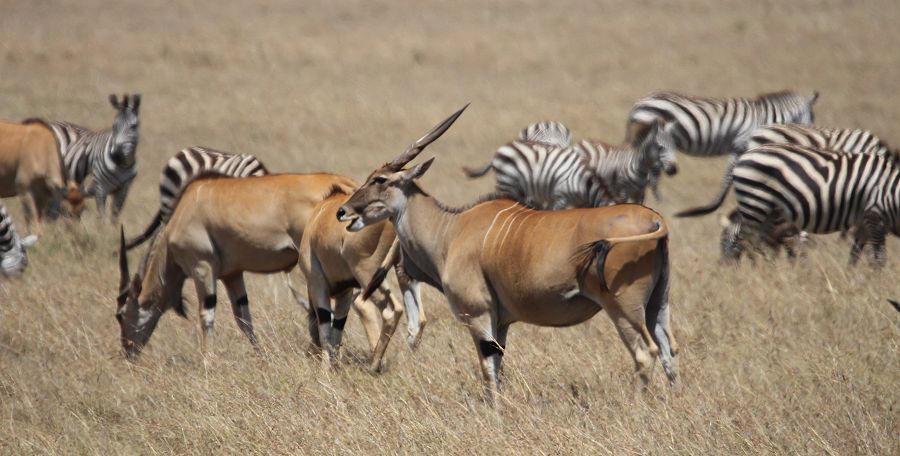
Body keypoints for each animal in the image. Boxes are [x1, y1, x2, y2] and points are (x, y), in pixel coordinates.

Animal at [342, 106, 680, 402]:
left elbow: (488, 371)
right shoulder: (501, 323)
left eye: (380, 180)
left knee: (645, 353)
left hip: (624, 307)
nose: (343, 211)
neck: (450, 230)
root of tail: (654, 220)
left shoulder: (478, 315)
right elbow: (498, 366)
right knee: (668, 350)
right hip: (657, 305)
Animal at [708, 145, 896, 268]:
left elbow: (791, 251)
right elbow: (774, 253)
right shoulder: (776, 235)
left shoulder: (787, 231)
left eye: (723, 241)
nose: (722, 265)